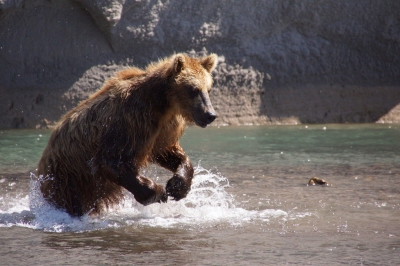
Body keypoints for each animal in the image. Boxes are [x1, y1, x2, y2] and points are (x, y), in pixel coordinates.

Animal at [37, 53, 219, 217]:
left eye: (209, 89)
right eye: (193, 89)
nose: (210, 114)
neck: (163, 104)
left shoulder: (164, 128)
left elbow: (166, 151)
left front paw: (177, 186)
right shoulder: (130, 120)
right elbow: (112, 160)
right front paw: (158, 192)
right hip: (67, 177)